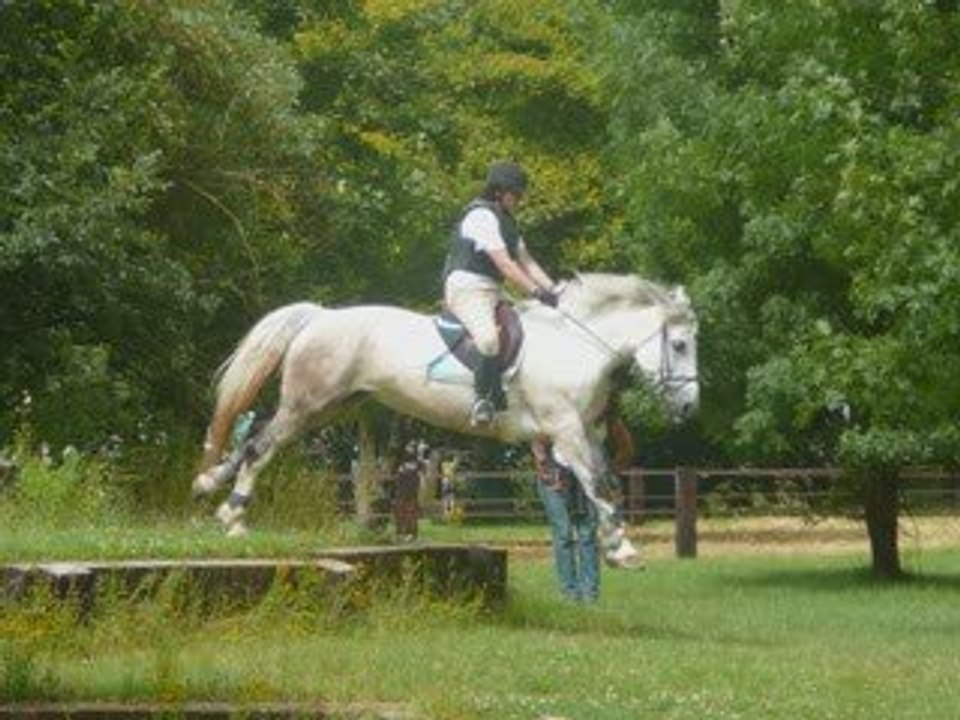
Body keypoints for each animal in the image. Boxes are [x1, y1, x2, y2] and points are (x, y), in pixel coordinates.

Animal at [192, 273, 699, 567]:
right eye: (679, 346)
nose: (690, 409)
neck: (574, 346)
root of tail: (320, 317)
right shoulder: (566, 431)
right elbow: (599, 484)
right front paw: (624, 548)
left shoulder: (585, 433)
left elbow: (606, 481)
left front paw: (616, 543)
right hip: (309, 403)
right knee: (261, 446)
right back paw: (232, 515)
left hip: (330, 404)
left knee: (254, 436)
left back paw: (208, 484)